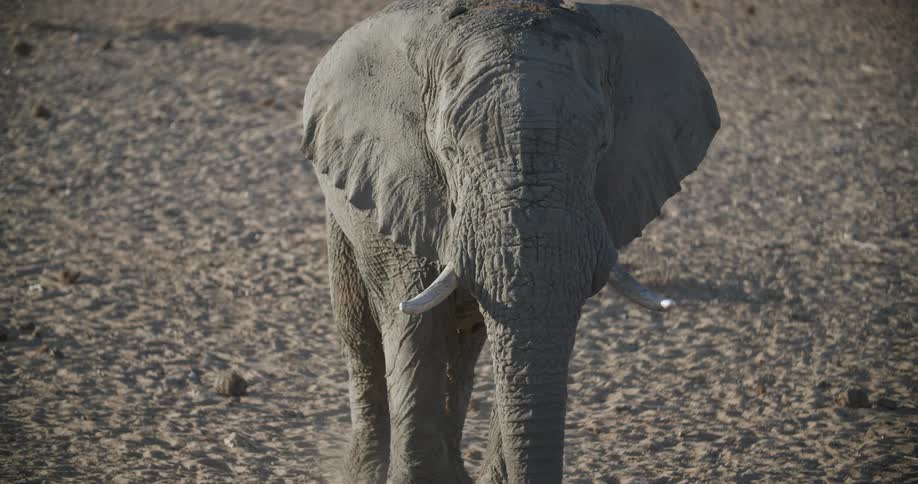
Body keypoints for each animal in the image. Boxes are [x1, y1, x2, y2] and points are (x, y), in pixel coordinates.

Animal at [299, 0, 719, 482]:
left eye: (602, 147)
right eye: (448, 151)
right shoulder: (402, 182)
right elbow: (415, 320)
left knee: (465, 342)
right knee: (361, 328)